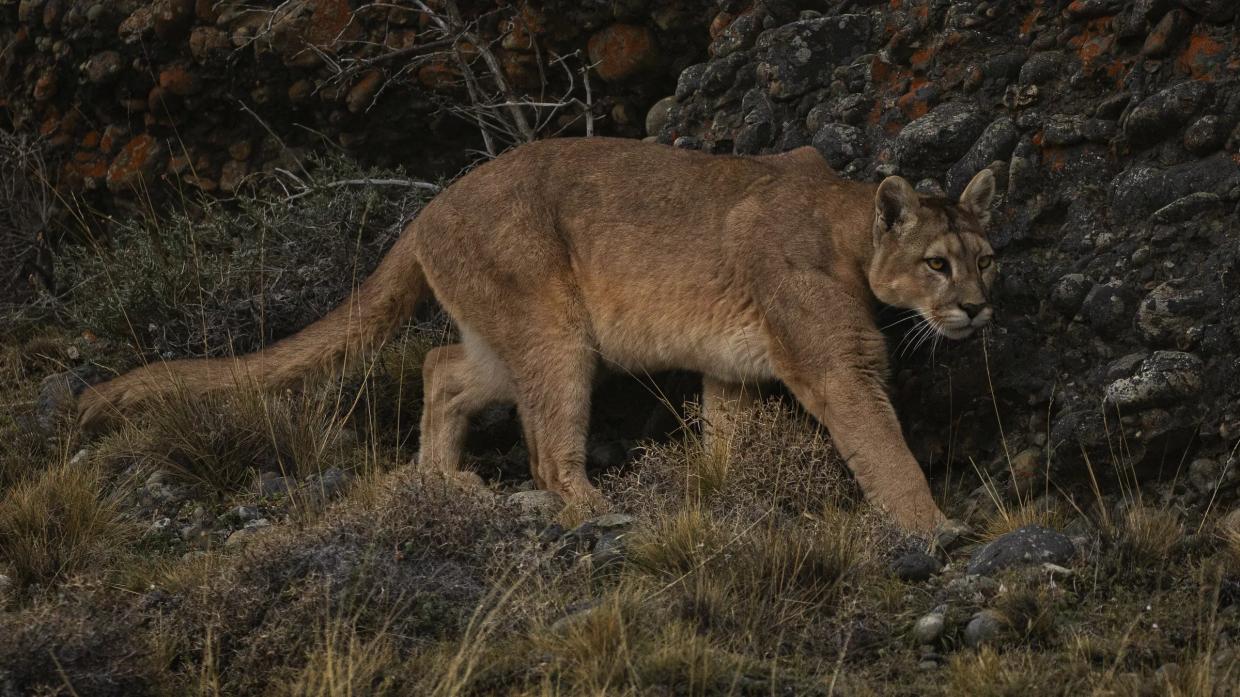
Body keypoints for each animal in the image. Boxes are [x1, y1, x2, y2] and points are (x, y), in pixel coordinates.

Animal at [78, 137, 997, 534]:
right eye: (937, 263)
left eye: (989, 258)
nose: (980, 308)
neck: (846, 227)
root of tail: (430, 208)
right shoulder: (838, 365)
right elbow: (884, 446)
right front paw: (935, 529)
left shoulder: (733, 366)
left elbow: (731, 436)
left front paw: (727, 493)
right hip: (557, 332)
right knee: (548, 449)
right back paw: (600, 508)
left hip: (508, 338)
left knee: (443, 366)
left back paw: (443, 481)